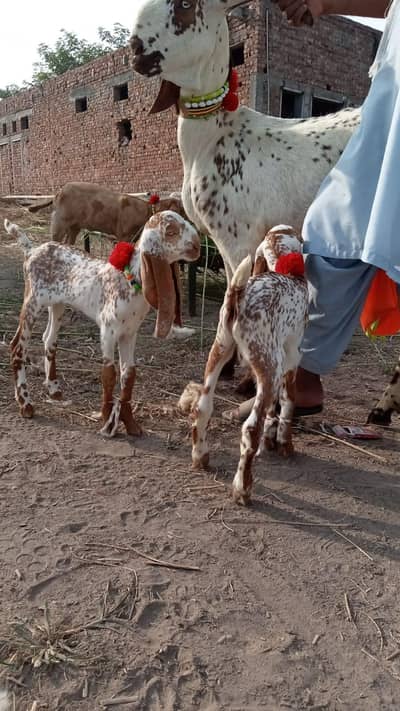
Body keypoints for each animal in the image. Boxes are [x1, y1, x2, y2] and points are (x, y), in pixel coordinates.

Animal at [4, 212, 200, 437]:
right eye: (170, 231)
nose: (197, 245)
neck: (128, 279)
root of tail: (32, 250)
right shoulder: (108, 330)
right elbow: (109, 373)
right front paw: (107, 421)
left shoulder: (129, 333)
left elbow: (129, 373)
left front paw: (131, 424)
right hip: (33, 301)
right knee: (17, 346)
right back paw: (25, 404)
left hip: (58, 304)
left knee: (49, 340)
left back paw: (53, 390)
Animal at [181, 226, 308, 505]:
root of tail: (238, 295)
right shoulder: (291, 358)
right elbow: (288, 402)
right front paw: (285, 444)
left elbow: (273, 408)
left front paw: (271, 441)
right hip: (268, 366)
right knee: (250, 429)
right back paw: (242, 488)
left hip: (221, 350)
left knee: (203, 408)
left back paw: (200, 457)